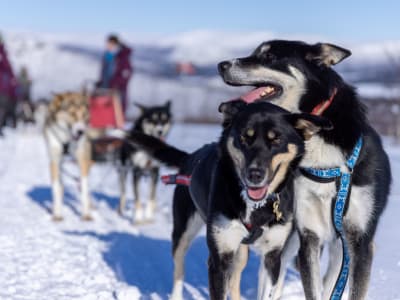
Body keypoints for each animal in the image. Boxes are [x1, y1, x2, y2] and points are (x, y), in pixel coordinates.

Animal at [126, 101, 332, 300]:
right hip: (183, 233)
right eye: (244, 138)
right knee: (179, 270)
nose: (255, 174)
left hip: (240, 253)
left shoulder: (272, 257)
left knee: (234, 280)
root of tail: (190, 157)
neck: (254, 206)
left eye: (277, 139)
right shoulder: (220, 258)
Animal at [217, 40, 392, 300]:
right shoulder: (309, 235)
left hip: (339, 247)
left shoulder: (360, 241)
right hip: (287, 240)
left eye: (269, 56)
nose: (221, 65)